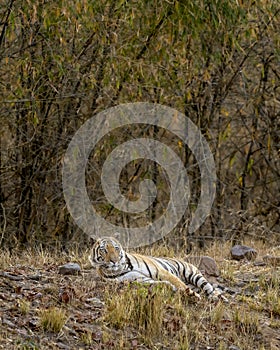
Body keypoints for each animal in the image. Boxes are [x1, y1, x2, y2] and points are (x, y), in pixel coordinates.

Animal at [89, 237, 228, 302]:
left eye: (116, 248)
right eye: (104, 250)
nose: (114, 260)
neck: (120, 268)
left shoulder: (160, 271)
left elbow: (177, 282)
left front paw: (190, 295)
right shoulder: (138, 279)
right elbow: (158, 284)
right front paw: (170, 287)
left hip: (193, 274)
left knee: (209, 288)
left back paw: (220, 298)